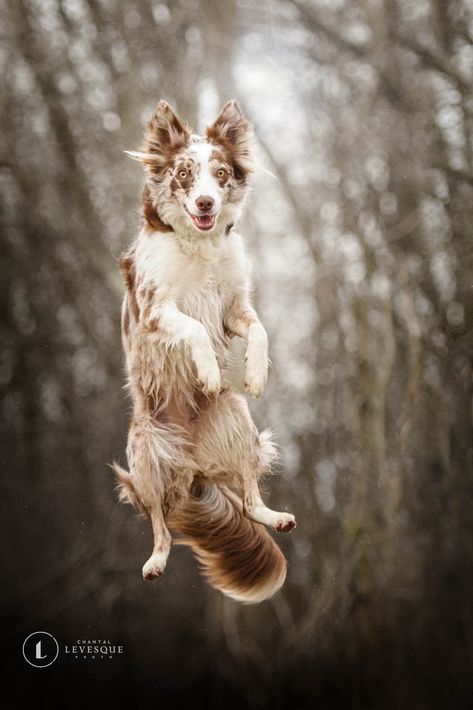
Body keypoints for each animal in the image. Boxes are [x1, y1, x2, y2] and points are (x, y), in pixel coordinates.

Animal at [114, 97, 296, 604]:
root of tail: (194, 471)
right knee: (159, 523)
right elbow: (194, 328)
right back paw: (155, 562)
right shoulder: (156, 309)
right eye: (183, 174)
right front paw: (211, 371)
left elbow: (259, 331)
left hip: (240, 424)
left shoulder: (234, 305)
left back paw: (276, 516)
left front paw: (253, 373)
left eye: (220, 173)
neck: (197, 243)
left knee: (250, 499)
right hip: (145, 455)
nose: (205, 203)